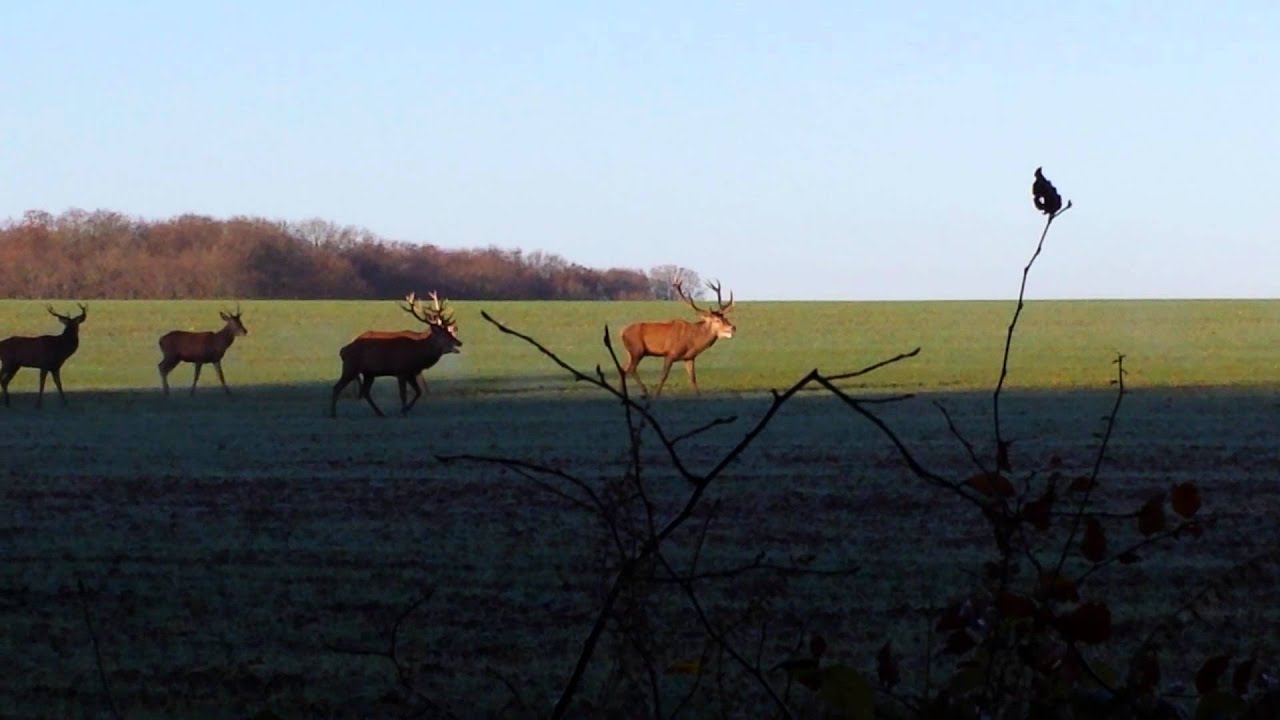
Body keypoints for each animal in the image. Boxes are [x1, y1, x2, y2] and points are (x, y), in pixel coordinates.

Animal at [331, 291, 462, 417]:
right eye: (444, 334)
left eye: (449, 332)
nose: (459, 342)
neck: (418, 352)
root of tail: (343, 350)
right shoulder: (401, 371)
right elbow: (403, 394)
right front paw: (403, 412)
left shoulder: (411, 372)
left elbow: (418, 392)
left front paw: (405, 410)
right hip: (350, 367)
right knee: (337, 387)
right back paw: (333, 414)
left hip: (369, 373)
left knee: (366, 392)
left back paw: (381, 413)